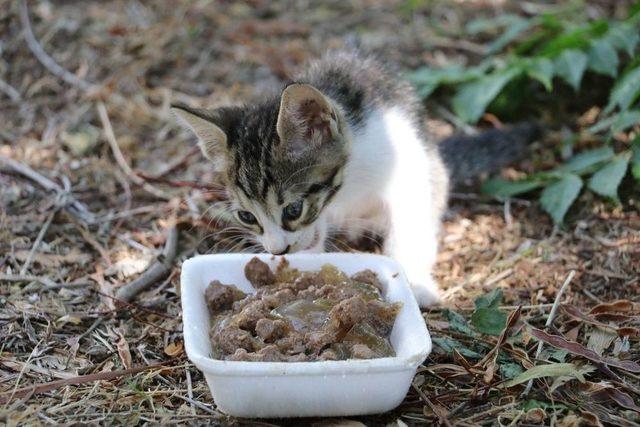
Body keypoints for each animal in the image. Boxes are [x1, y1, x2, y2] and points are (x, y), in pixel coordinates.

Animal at [171, 51, 540, 308]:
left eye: (293, 210)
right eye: (247, 216)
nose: (277, 250)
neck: (350, 186)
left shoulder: (409, 168)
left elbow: (411, 226)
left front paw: (414, 282)